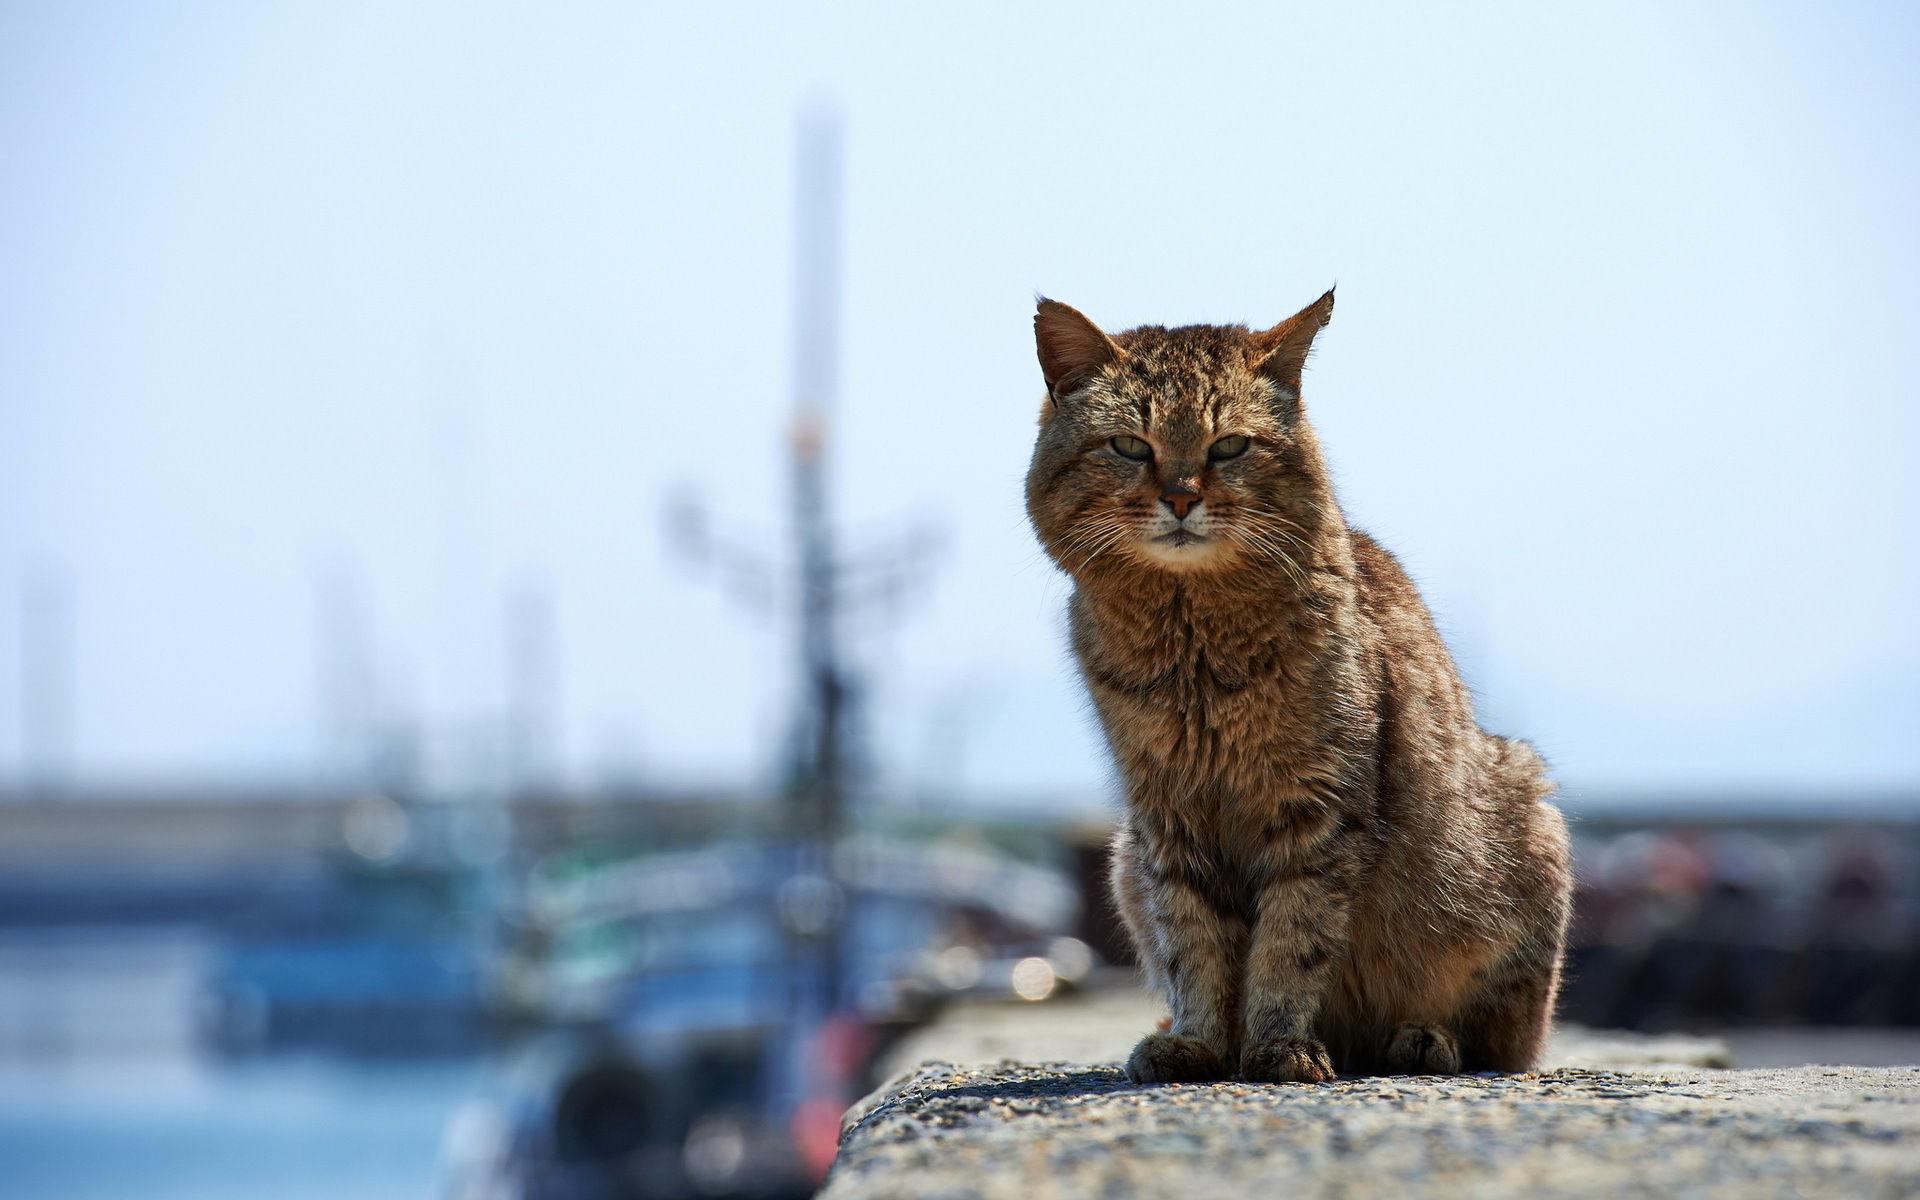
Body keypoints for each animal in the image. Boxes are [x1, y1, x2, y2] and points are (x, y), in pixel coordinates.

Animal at [1029, 291, 1566, 1082]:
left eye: (1229, 447)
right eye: (1130, 446)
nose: (1181, 498)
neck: (1195, 646)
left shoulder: (1318, 808)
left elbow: (1293, 940)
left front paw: (1278, 1044)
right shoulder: (1166, 818)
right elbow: (1192, 943)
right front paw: (1201, 1041)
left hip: (1524, 832)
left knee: (1502, 1041)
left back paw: (1422, 1039)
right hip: (1125, 857)